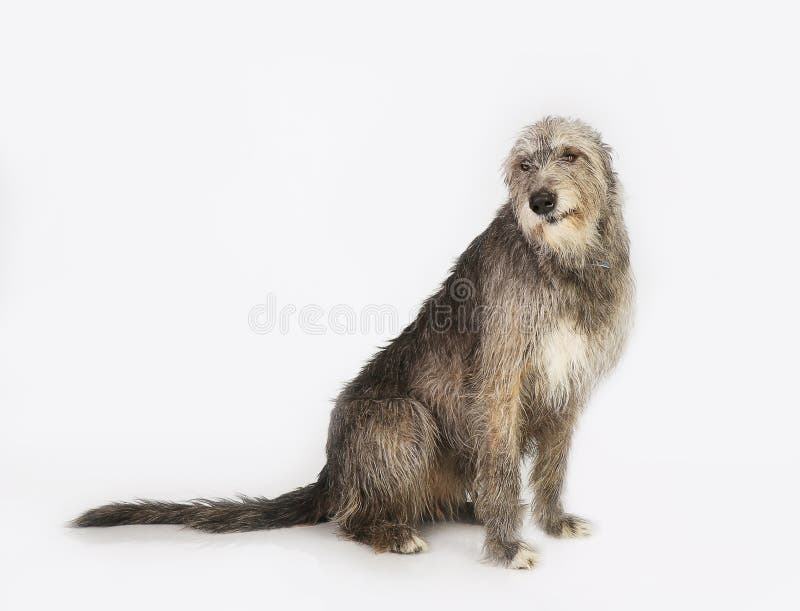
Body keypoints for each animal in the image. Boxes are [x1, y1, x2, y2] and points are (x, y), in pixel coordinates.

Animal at [76, 117, 636, 572]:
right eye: (523, 165)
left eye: (571, 155)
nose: (540, 202)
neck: (565, 264)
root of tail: (333, 474)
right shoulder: (500, 382)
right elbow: (499, 466)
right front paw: (506, 548)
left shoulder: (570, 383)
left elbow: (553, 463)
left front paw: (554, 521)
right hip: (401, 420)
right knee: (351, 517)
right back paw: (393, 532)